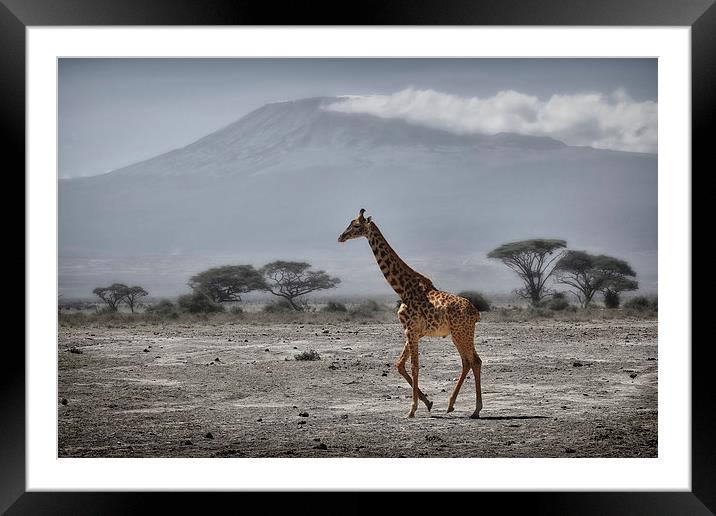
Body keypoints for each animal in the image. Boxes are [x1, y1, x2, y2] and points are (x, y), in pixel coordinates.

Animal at [338, 208, 484, 418]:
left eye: (356, 225)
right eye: (349, 223)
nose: (341, 237)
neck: (402, 289)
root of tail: (475, 313)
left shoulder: (411, 329)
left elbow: (414, 366)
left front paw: (412, 409)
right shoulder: (414, 331)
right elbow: (400, 364)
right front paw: (428, 402)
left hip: (461, 332)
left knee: (473, 361)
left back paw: (476, 409)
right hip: (459, 334)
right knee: (470, 362)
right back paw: (452, 405)